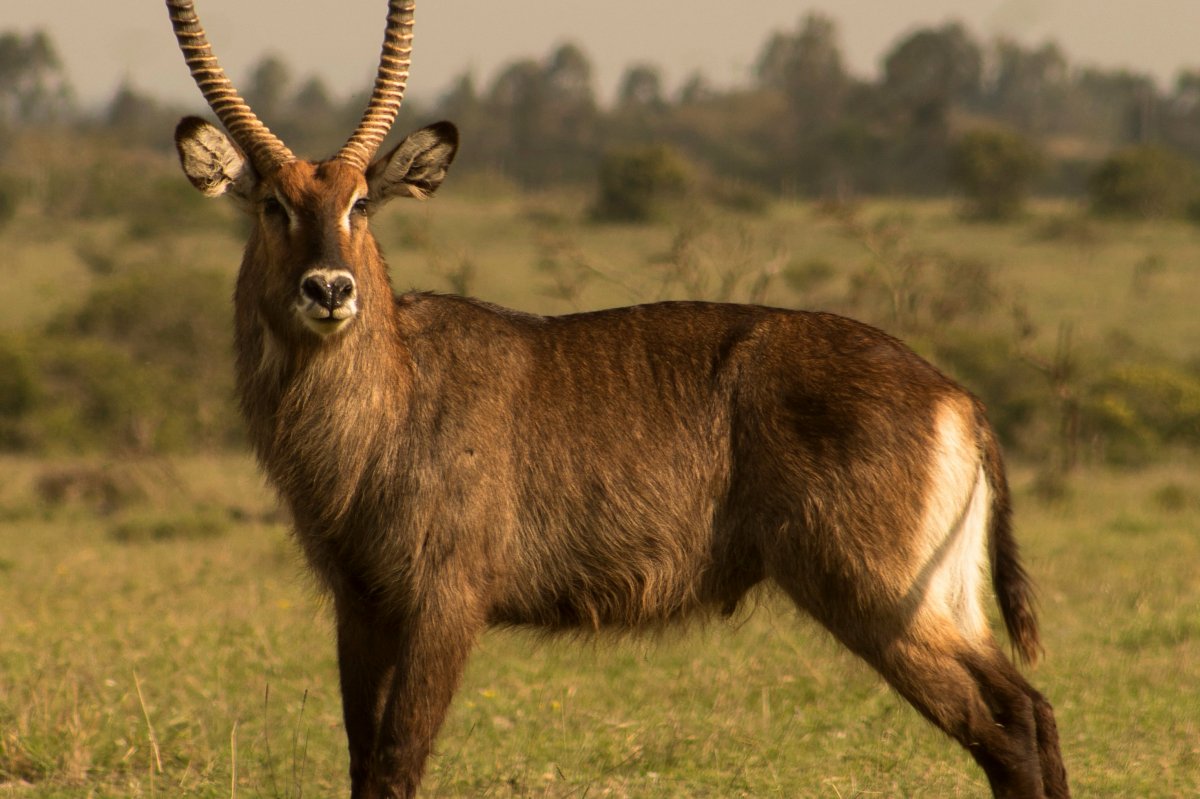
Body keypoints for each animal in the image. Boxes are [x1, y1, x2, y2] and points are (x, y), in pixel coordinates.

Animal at [166, 1, 1069, 797]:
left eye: (360, 203)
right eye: (273, 204)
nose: (330, 289)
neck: (395, 396)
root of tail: (955, 394)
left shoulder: (444, 600)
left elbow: (394, 766)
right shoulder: (359, 604)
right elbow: (361, 765)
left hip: (879, 595)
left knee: (1006, 730)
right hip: (938, 596)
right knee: (1031, 710)